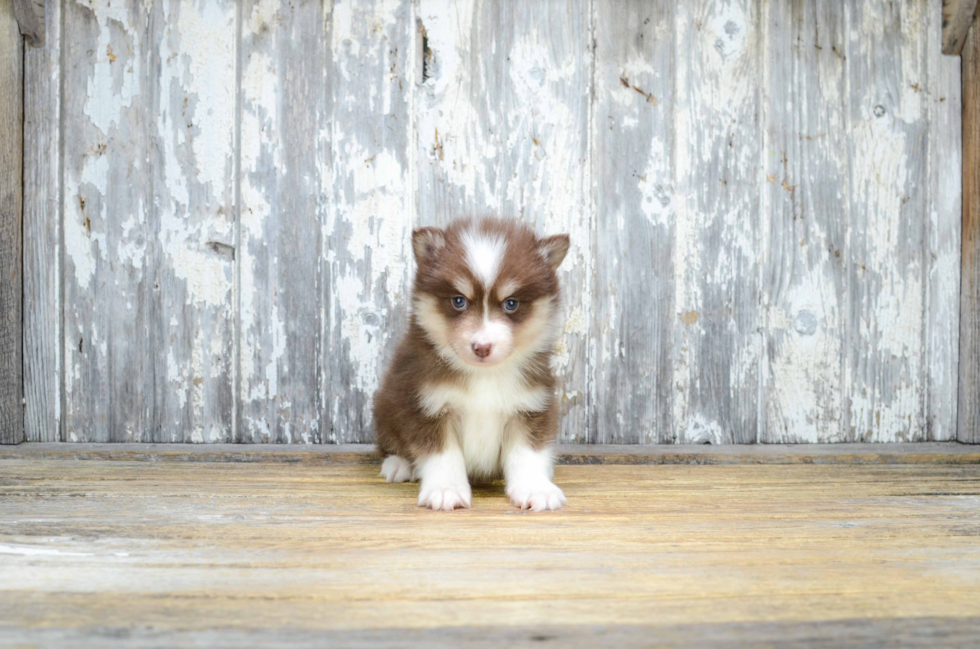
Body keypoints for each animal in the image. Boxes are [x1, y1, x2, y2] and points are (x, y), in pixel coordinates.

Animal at [376, 218, 576, 512]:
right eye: (459, 300)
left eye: (511, 304)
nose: (482, 347)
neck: (484, 376)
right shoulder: (426, 404)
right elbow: (443, 455)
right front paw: (446, 489)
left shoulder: (531, 406)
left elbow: (528, 452)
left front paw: (536, 489)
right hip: (386, 405)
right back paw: (399, 464)